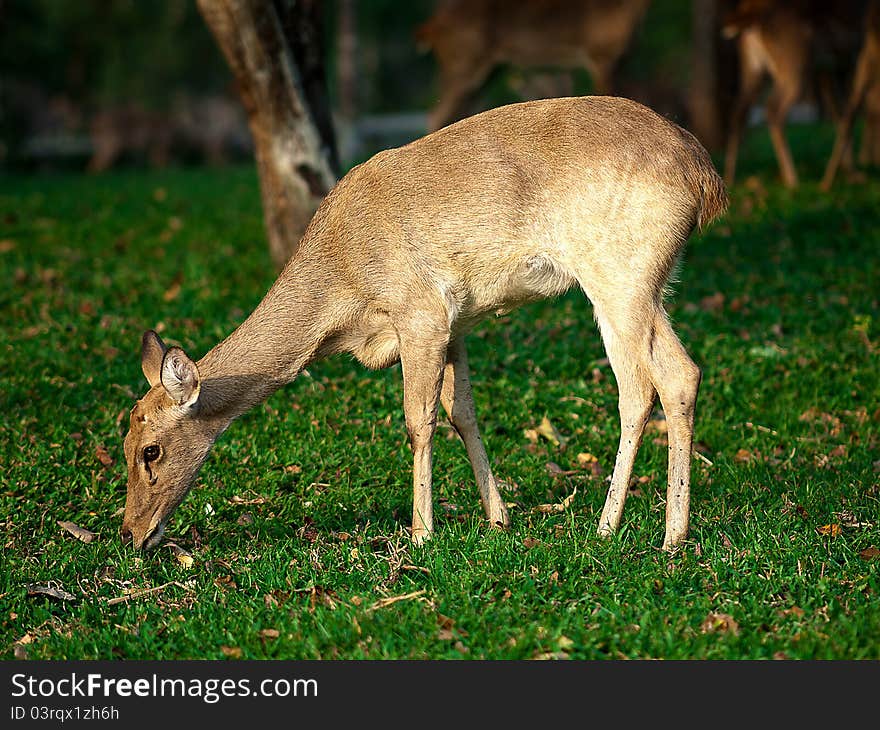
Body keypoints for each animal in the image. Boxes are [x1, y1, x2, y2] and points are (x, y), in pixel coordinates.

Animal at [124, 96, 728, 556]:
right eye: (123, 439)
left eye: (150, 450)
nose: (130, 533)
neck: (344, 295)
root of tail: (705, 177)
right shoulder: (455, 322)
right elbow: (462, 412)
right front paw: (498, 517)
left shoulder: (420, 313)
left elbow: (418, 420)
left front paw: (420, 533)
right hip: (651, 283)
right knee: (683, 374)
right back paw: (673, 533)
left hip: (617, 275)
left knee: (641, 386)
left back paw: (616, 527)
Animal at [720, 0, 868, 188]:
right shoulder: (852, 56)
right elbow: (850, 112)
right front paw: (850, 175)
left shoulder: (825, 68)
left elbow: (838, 112)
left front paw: (847, 170)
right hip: (794, 63)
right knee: (772, 109)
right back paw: (792, 179)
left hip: (753, 69)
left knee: (739, 111)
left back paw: (730, 177)